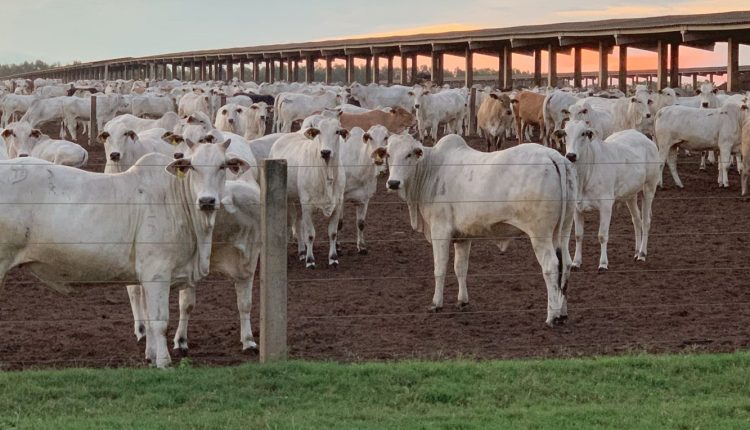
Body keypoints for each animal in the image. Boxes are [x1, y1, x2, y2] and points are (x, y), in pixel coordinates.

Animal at [384, 133, 580, 324]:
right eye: (388, 154)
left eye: (409, 154)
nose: (393, 182)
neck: (433, 168)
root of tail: (552, 155)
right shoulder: (463, 237)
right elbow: (460, 268)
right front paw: (462, 301)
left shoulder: (440, 230)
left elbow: (439, 268)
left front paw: (436, 304)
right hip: (563, 230)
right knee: (566, 264)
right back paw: (563, 313)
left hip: (540, 235)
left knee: (551, 266)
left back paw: (552, 316)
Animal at [560, 120, 660, 268]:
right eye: (565, 133)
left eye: (583, 133)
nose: (571, 155)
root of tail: (644, 138)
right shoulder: (577, 208)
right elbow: (578, 236)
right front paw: (576, 262)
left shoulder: (606, 205)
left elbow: (602, 235)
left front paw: (603, 263)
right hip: (630, 194)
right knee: (636, 219)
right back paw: (636, 252)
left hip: (649, 187)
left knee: (646, 221)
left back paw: (642, 254)